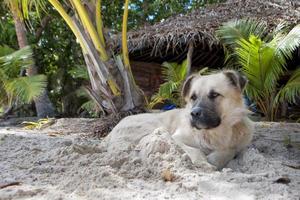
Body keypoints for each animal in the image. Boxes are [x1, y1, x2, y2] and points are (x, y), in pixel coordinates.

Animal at [105, 70, 253, 170]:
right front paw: (203, 162)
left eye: (214, 95)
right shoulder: (176, 138)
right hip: (154, 129)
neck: (213, 133)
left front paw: (214, 159)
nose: (194, 113)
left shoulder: (235, 146)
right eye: (193, 97)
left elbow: (229, 150)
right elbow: (194, 150)